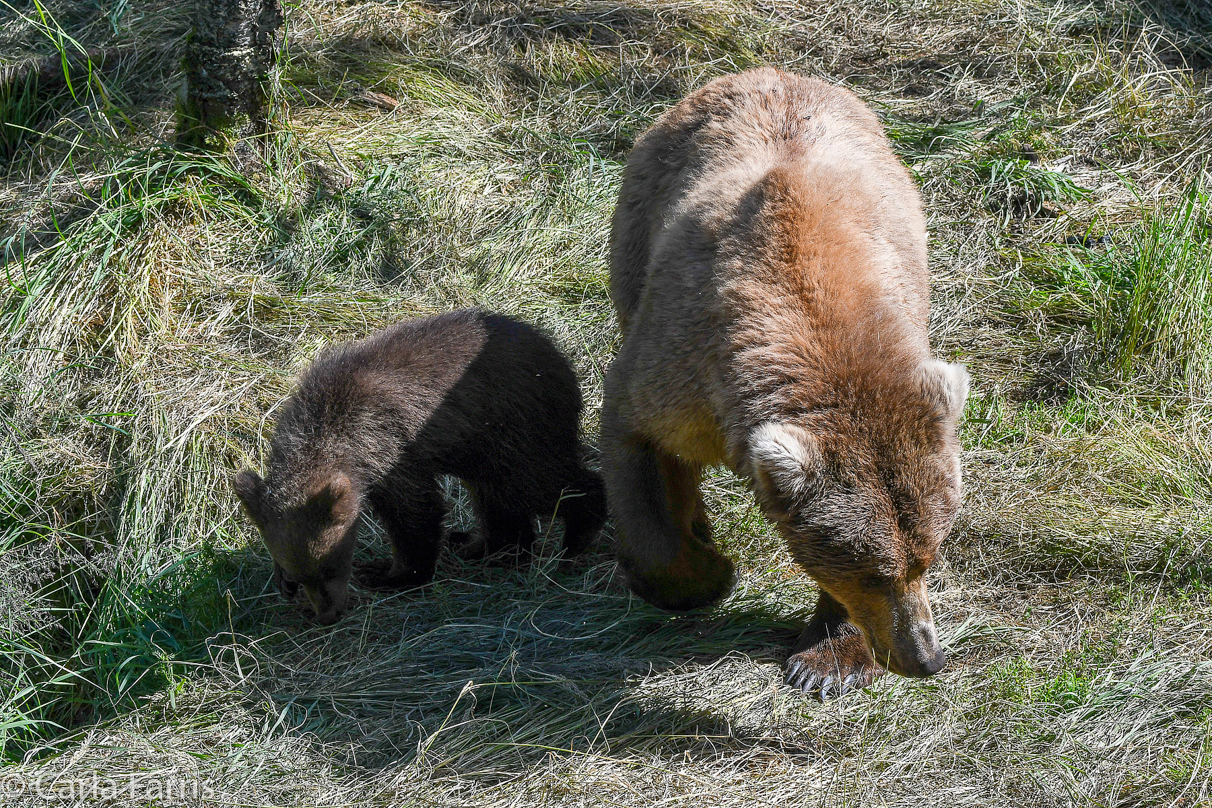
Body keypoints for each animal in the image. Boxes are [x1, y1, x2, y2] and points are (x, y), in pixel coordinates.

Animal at [601, 67, 969, 702]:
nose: (926, 657)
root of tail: (766, 71)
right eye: (872, 571)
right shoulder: (680, 367)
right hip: (636, 229)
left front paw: (830, 660)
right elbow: (639, 446)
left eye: (929, 554)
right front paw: (706, 572)